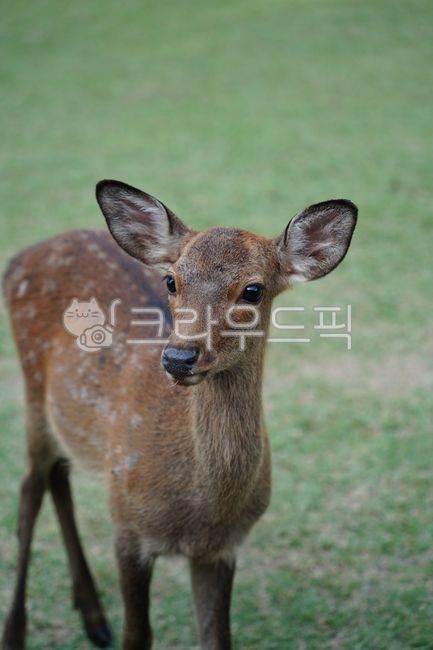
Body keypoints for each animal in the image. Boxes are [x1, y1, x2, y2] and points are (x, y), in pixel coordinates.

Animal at [1, 180, 357, 650]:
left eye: (253, 290)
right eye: (171, 280)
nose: (179, 357)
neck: (201, 510)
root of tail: (18, 259)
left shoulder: (221, 548)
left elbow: (217, 637)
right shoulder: (127, 526)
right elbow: (138, 635)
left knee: (58, 475)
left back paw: (94, 617)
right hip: (33, 396)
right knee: (29, 491)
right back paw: (16, 631)